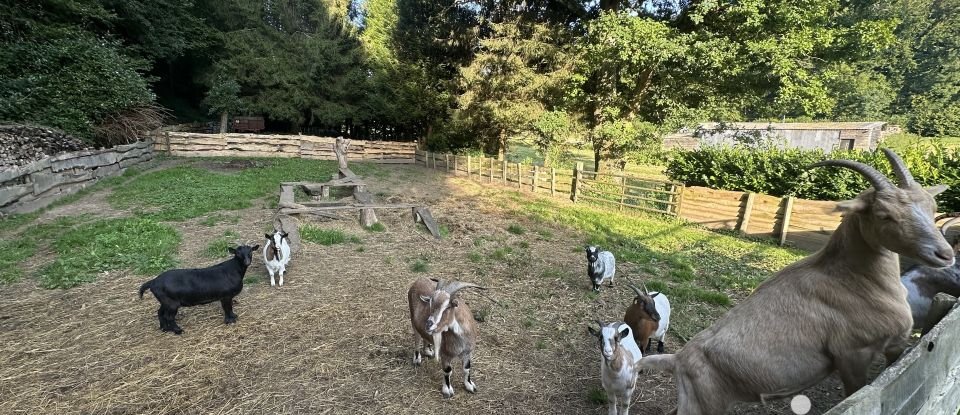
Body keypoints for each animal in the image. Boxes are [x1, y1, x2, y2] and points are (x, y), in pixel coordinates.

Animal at [632, 148, 956, 414]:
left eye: (932, 207)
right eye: (884, 214)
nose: (945, 254)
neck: (855, 280)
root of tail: (678, 360)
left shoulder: (891, 348)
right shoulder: (854, 355)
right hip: (705, 407)